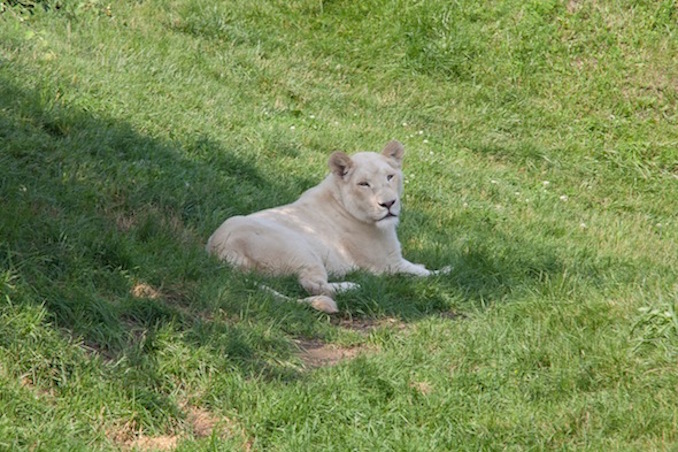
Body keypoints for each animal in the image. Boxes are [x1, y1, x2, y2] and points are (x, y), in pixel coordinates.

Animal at [209, 139, 452, 312]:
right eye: (364, 184)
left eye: (390, 177)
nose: (389, 203)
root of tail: (219, 250)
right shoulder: (389, 264)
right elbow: (422, 273)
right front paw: (445, 270)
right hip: (301, 249)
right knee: (313, 284)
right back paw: (353, 286)